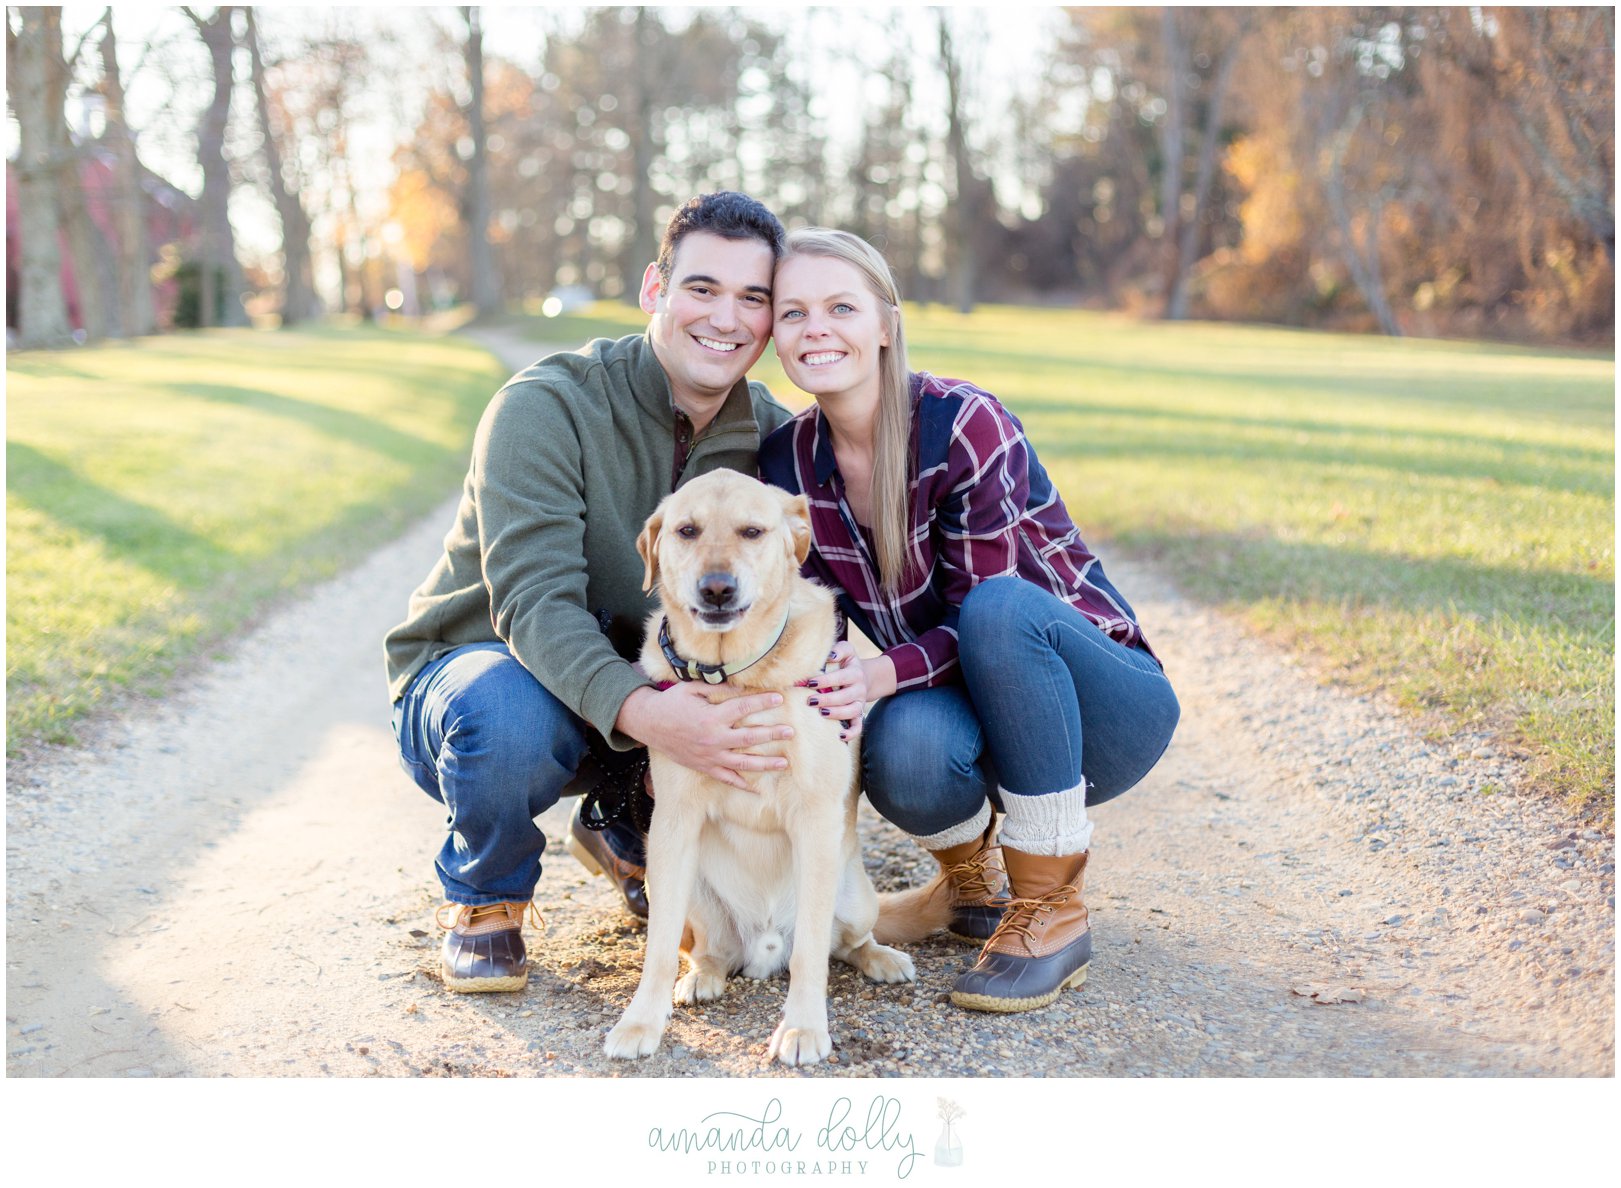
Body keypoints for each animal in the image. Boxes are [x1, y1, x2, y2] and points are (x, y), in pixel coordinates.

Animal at [609, 466, 946, 1063]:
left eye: (752, 531)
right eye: (687, 531)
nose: (717, 587)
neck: (738, 676)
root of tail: (765, 946)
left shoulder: (815, 818)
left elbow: (811, 950)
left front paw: (804, 1028)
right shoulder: (673, 823)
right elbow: (658, 947)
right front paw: (641, 1021)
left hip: (854, 897)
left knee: (844, 944)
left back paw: (880, 958)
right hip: (679, 886)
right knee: (706, 949)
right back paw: (703, 976)